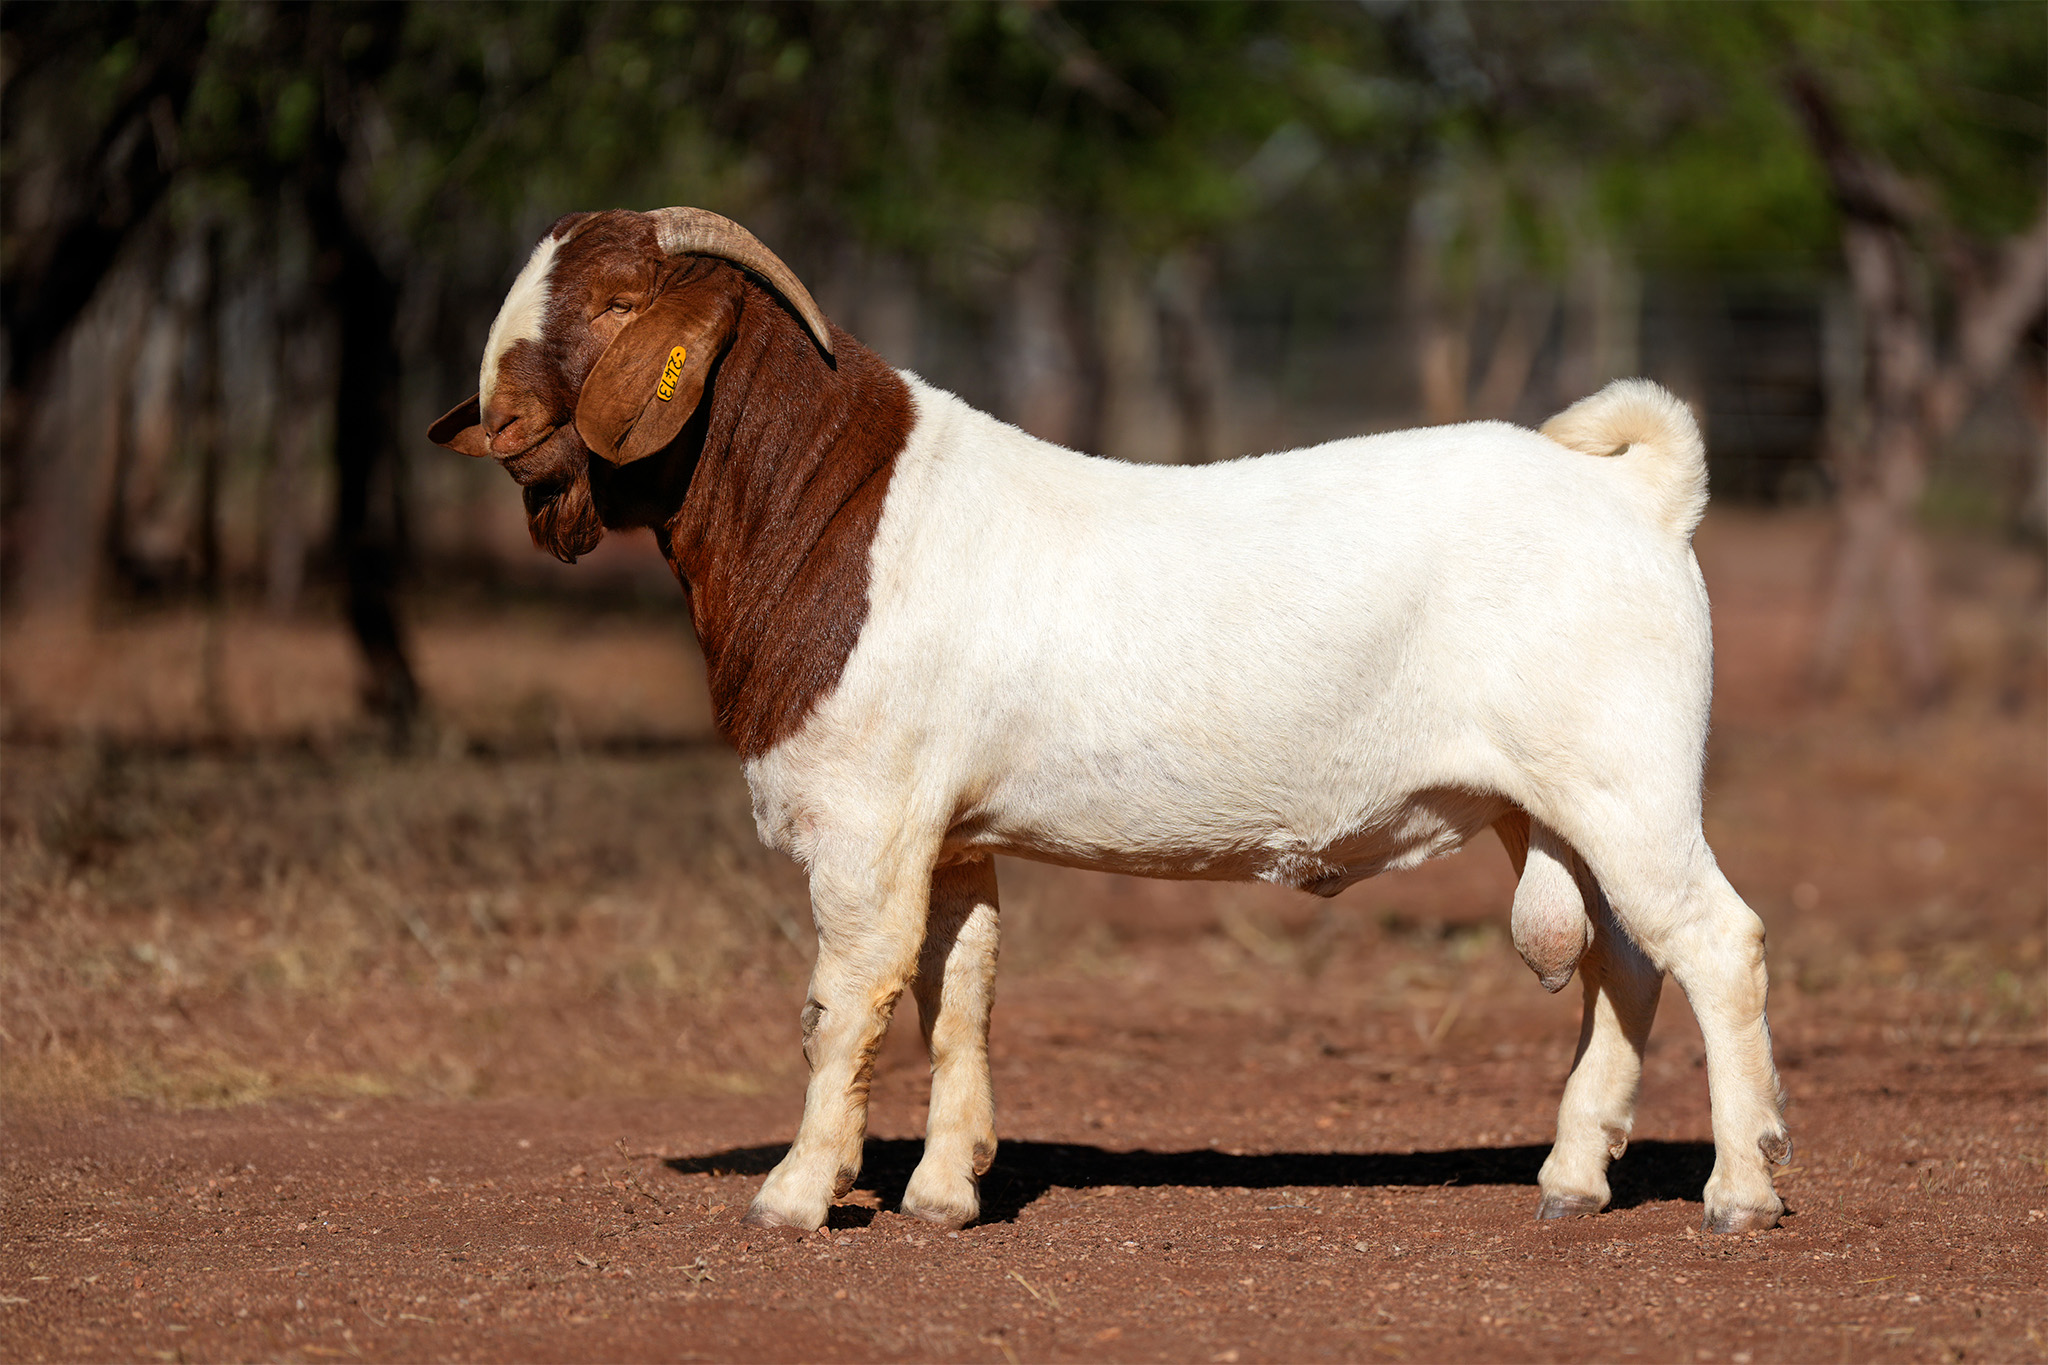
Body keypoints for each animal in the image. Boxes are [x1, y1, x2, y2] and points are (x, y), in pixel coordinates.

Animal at [430, 207, 1790, 1236]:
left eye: (616, 304)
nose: (497, 430)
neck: (828, 511)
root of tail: (1639, 496)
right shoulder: (950, 831)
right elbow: (957, 988)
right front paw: (944, 1191)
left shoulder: (868, 820)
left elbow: (844, 998)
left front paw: (797, 1194)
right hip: (1553, 799)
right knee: (1624, 958)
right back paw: (1572, 1178)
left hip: (1627, 777)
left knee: (1714, 942)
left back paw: (1738, 1191)